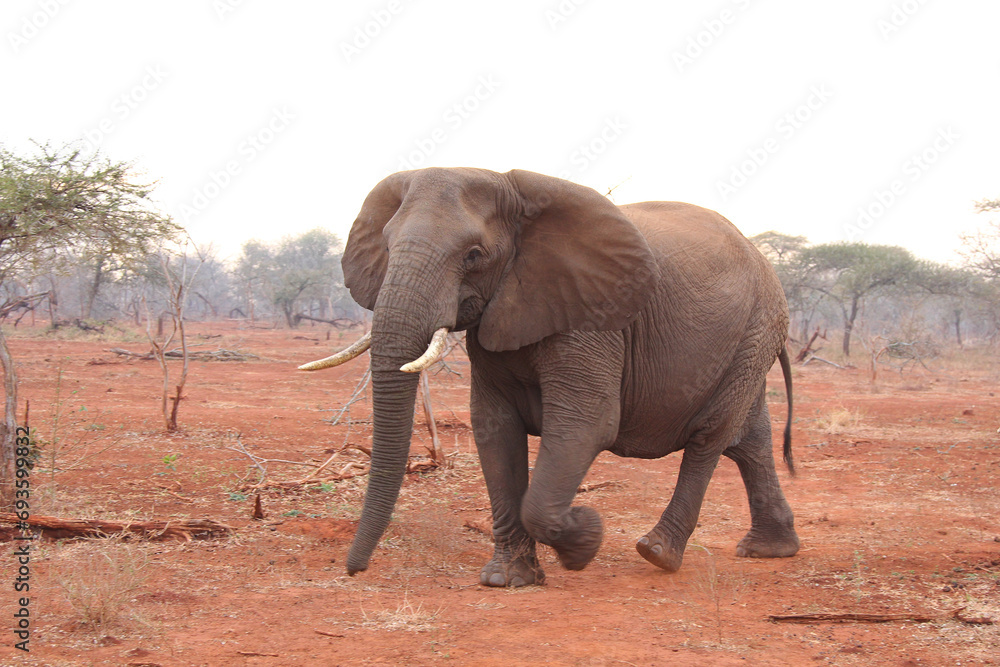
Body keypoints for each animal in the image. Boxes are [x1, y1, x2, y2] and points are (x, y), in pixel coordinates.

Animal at [301, 167, 800, 587]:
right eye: (387, 246)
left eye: (474, 255)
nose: (354, 570)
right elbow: (494, 428)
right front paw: (507, 580)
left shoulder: (592, 315)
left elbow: (586, 424)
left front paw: (586, 538)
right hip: (751, 339)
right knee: (749, 438)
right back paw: (770, 550)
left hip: (755, 328)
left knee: (710, 438)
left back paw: (657, 553)